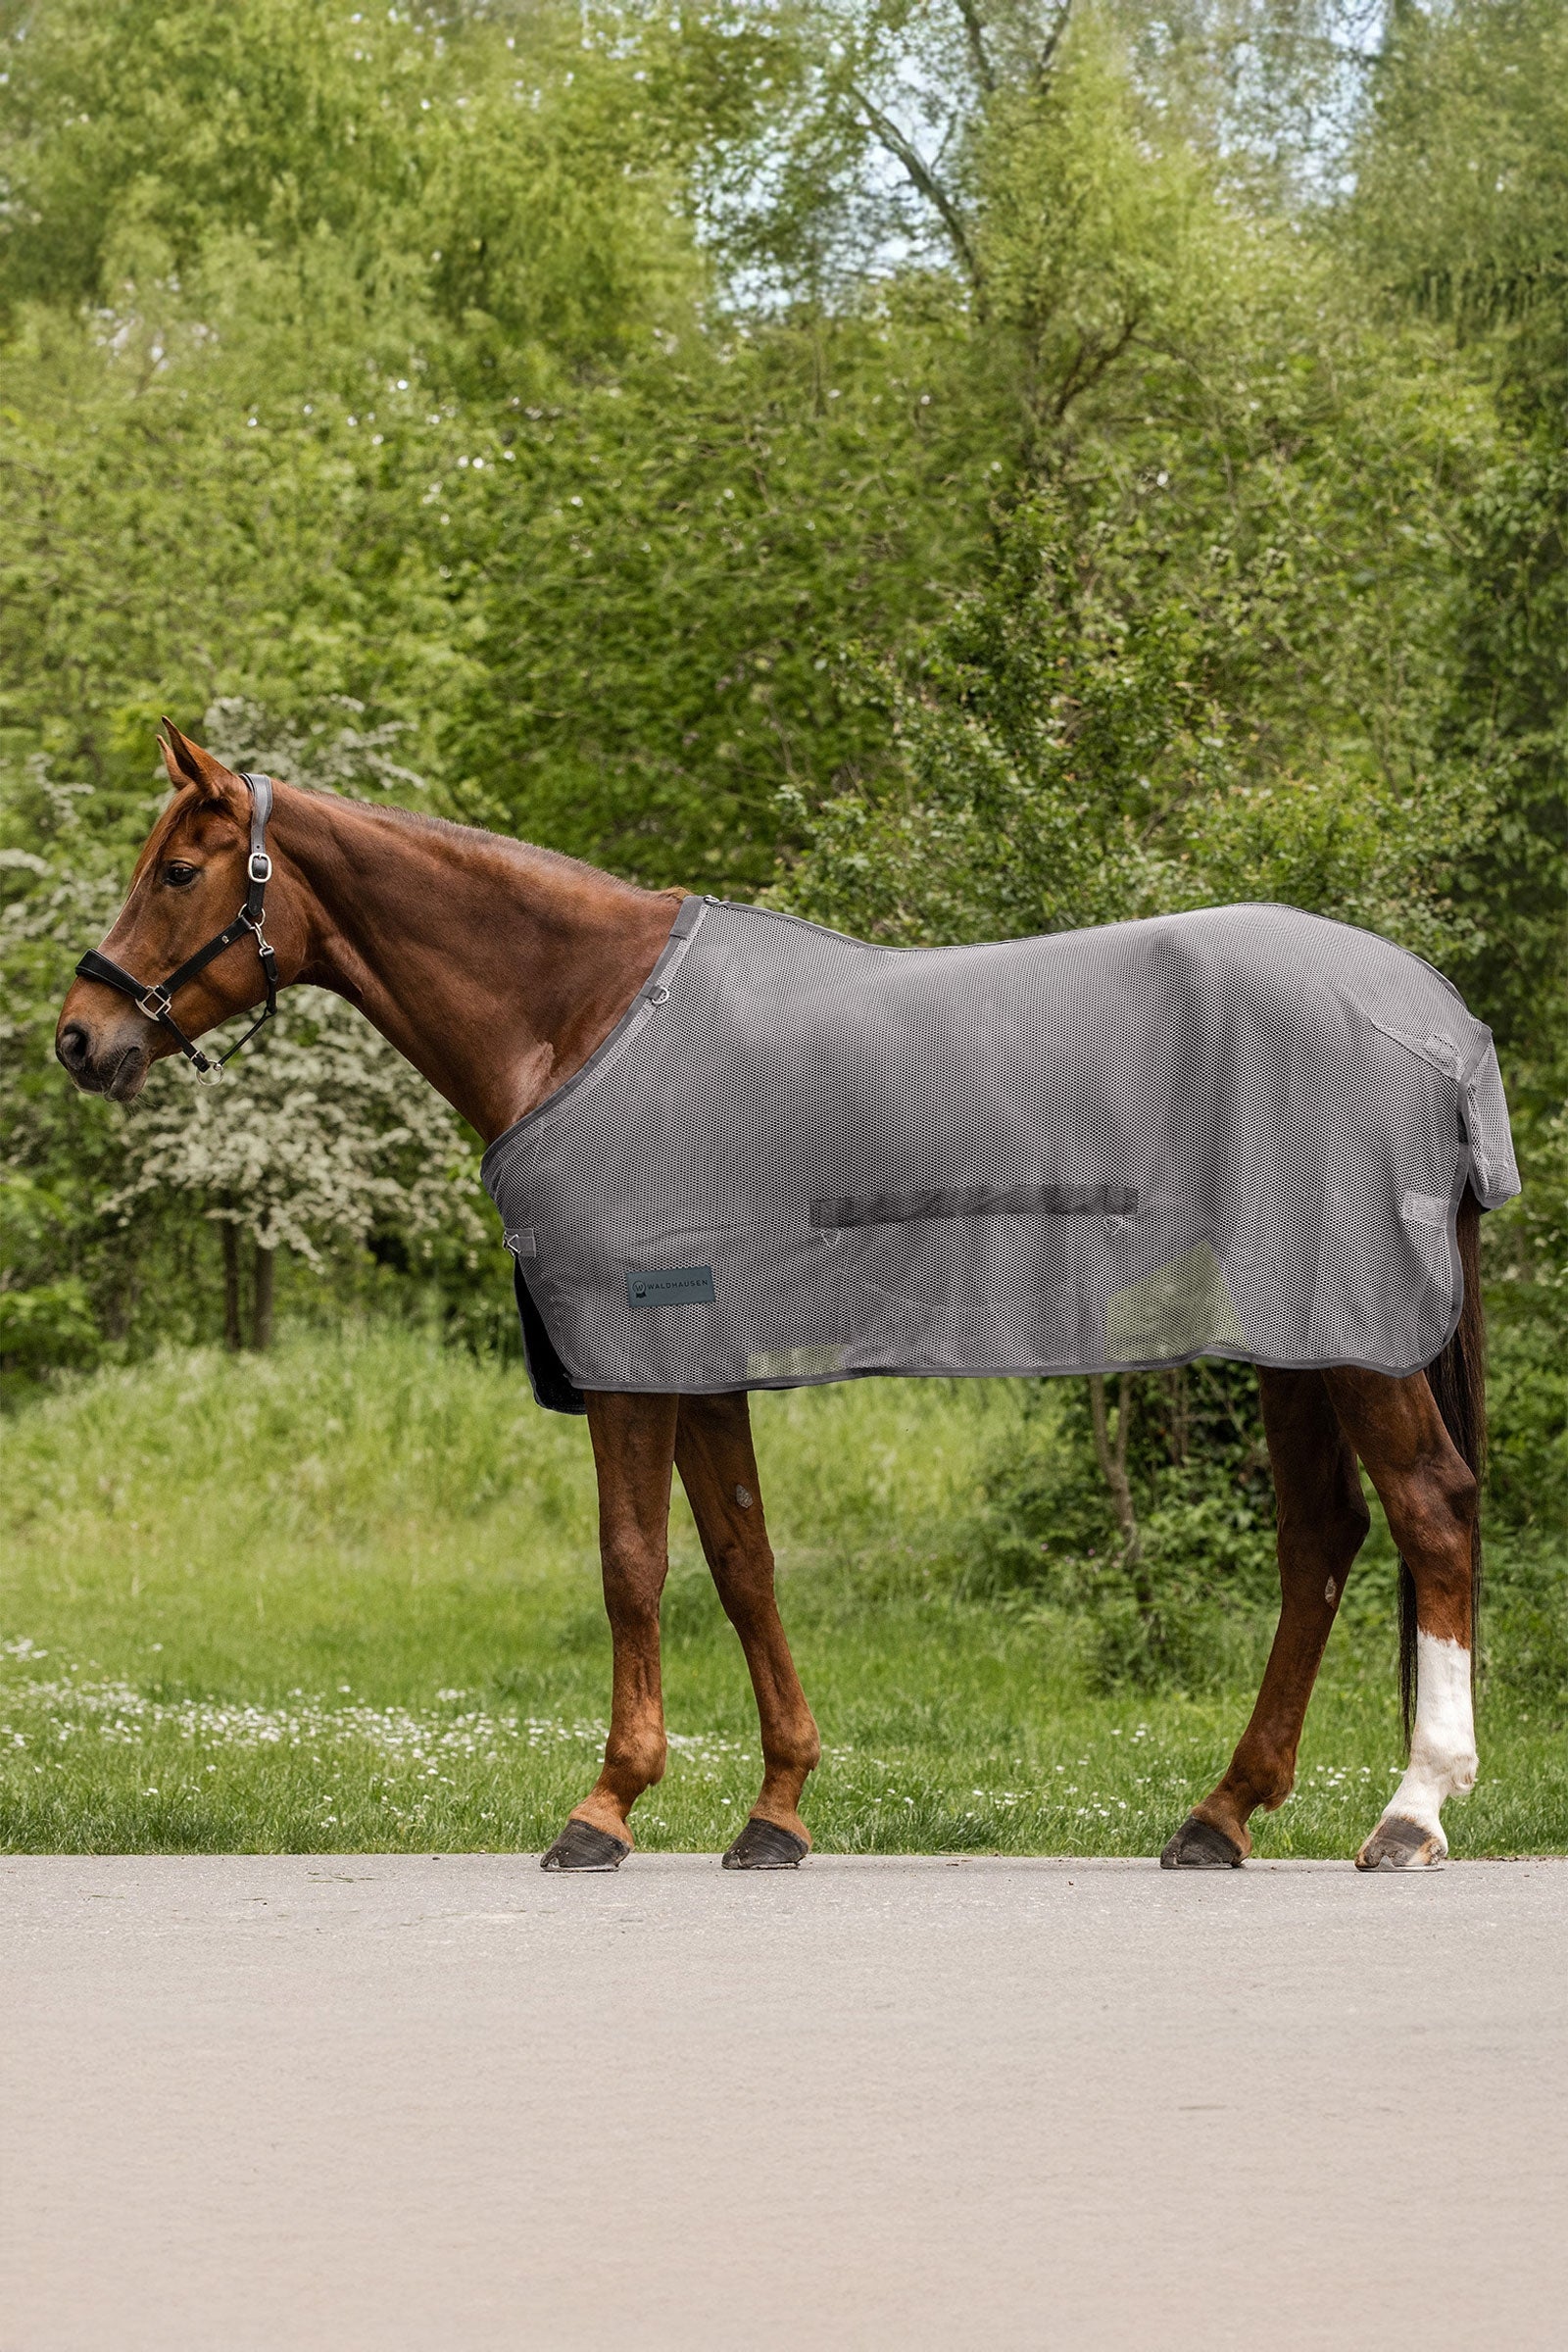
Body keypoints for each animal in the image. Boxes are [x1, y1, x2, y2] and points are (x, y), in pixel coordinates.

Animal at [56, 723, 1492, 1873]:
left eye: (176, 871)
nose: (80, 1034)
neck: (582, 1015)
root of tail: (1436, 1022)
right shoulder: (700, 1358)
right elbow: (743, 1564)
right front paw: (777, 1809)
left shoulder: (632, 1349)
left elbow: (632, 1565)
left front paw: (605, 1807)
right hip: (1299, 1335)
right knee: (1321, 1541)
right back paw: (1220, 1815)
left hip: (1352, 1338)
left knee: (1429, 1513)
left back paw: (1412, 1813)